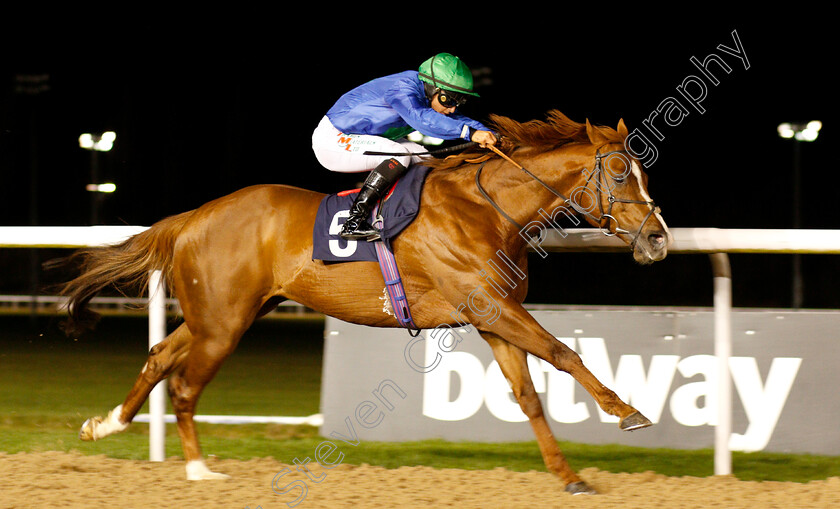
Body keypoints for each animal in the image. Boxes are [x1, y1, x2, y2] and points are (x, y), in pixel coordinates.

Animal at [57, 109, 668, 494]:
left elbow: (529, 397)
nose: (658, 239)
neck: (487, 210)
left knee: (160, 355)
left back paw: (106, 425)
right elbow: (565, 354)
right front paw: (629, 412)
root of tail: (194, 217)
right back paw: (198, 471)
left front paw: (570, 477)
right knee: (184, 384)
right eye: (620, 172)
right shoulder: (492, 308)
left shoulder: (494, 318)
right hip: (223, 323)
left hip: (224, 314)